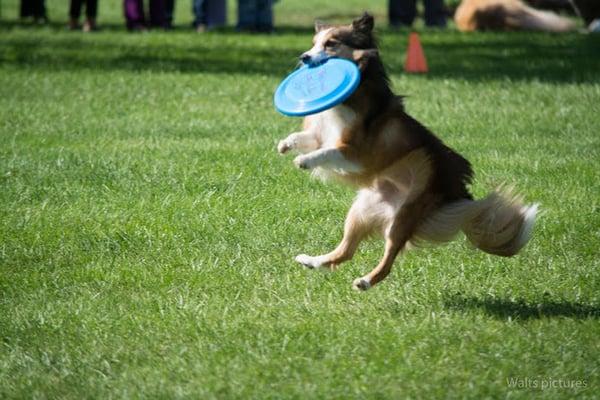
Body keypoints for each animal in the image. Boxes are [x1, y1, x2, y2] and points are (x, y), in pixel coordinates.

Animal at [276, 13, 540, 290]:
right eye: (314, 43)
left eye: (330, 44)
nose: (304, 57)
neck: (355, 92)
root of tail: (457, 196)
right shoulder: (322, 134)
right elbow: (306, 139)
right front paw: (285, 145)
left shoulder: (356, 153)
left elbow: (325, 153)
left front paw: (304, 161)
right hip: (360, 211)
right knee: (345, 252)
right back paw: (311, 260)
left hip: (404, 215)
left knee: (389, 257)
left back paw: (366, 281)